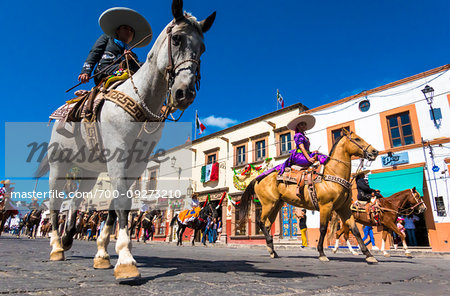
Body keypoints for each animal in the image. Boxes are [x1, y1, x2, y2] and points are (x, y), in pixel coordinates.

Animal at [239, 130, 380, 264]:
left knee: (267, 225)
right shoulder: (325, 206)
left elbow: (355, 230)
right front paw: (322, 254)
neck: (332, 174)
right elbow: (323, 229)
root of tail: (258, 179)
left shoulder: (344, 208)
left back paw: (272, 251)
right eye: (357, 139)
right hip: (268, 204)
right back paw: (270, 245)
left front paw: (369, 255)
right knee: (261, 222)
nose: (374, 151)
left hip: (276, 205)